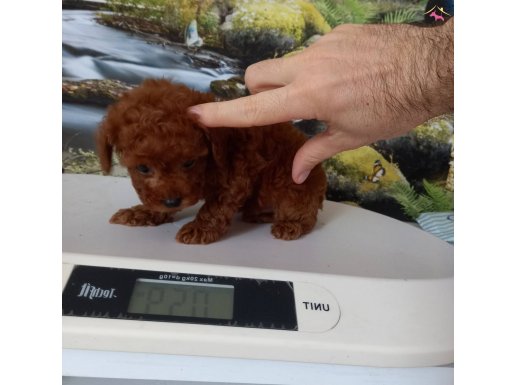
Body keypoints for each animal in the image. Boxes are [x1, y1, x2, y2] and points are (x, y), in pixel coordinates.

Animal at [97, 78, 326, 243]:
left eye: (189, 163)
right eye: (143, 168)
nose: (172, 202)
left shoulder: (236, 177)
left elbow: (215, 206)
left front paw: (200, 228)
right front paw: (142, 213)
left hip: (295, 185)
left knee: (303, 213)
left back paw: (290, 225)